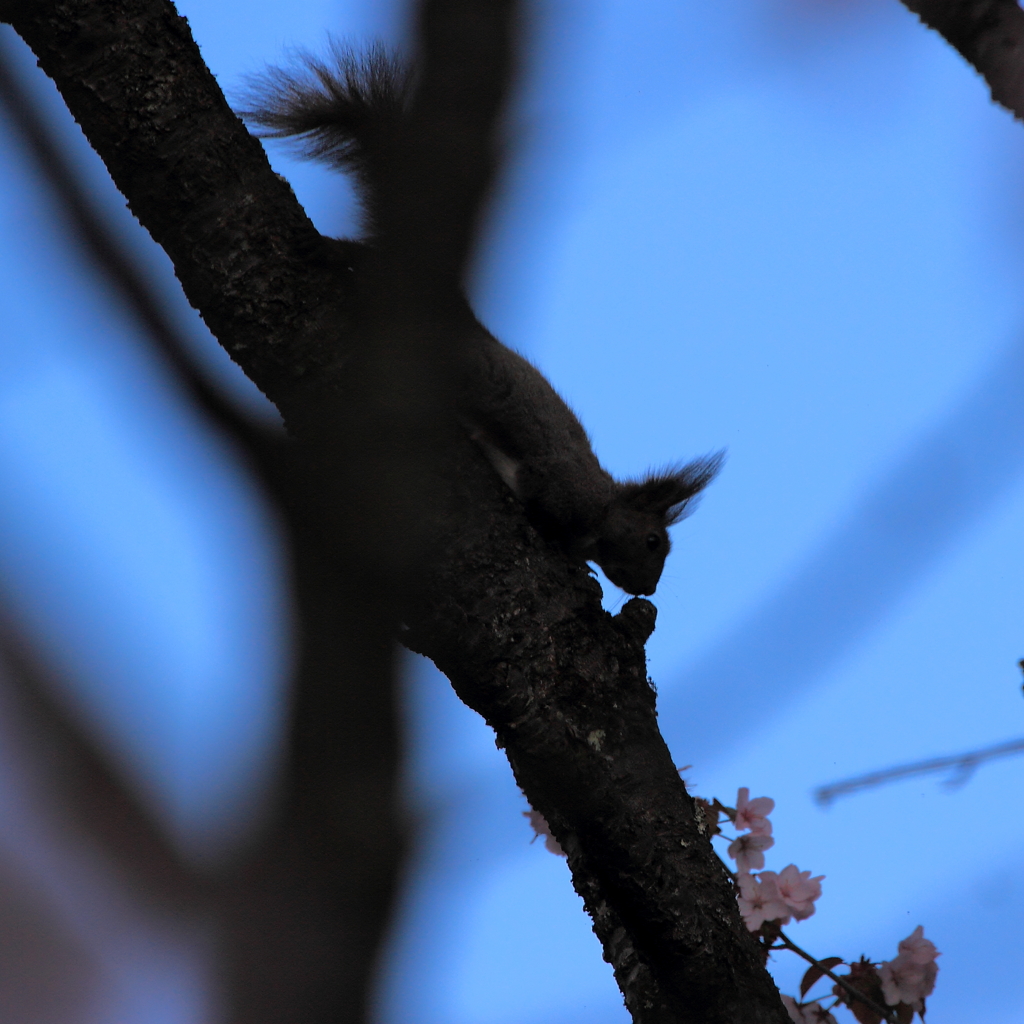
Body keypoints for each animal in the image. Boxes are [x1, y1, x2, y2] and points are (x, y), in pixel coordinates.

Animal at [240, 46, 724, 593]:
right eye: (653, 541)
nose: (647, 589)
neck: (602, 505)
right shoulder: (559, 483)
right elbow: (544, 510)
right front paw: (573, 561)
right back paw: (326, 249)